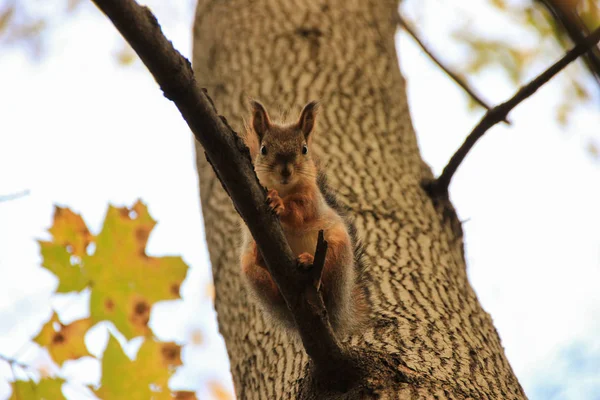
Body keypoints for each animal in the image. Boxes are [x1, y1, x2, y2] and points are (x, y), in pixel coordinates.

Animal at [239, 100, 366, 334]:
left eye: (304, 149)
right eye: (263, 149)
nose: (285, 171)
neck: (284, 189)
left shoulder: (310, 199)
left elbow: (298, 212)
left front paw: (278, 204)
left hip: (336, 247)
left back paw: (309, 264)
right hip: (251, 270)